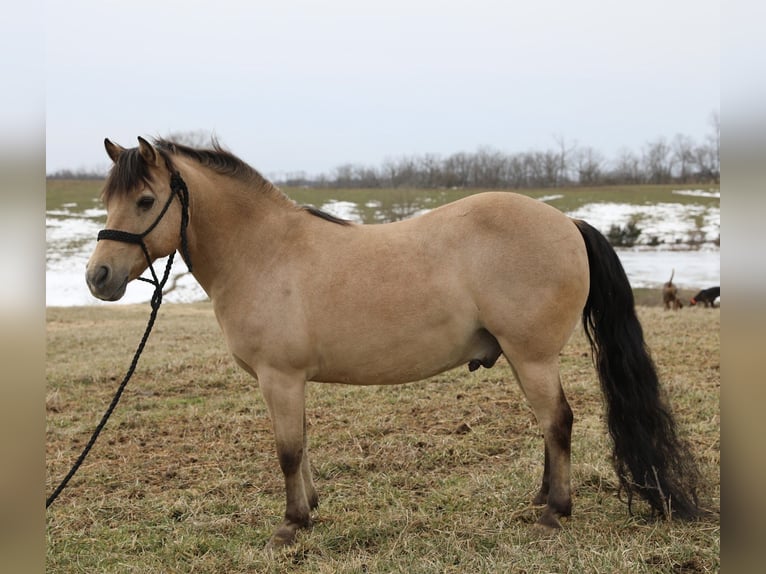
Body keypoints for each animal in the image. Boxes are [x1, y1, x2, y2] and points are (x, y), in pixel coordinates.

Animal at [85, 137, 702, 548]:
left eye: (145, 201)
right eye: (108, 198)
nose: (98, 277)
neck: (264, 252)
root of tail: (567, 222)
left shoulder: (278, 378)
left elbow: (288, 450)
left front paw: (291, 525)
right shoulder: (290, 381)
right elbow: (302, 445)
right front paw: (311, 508)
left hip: (533, 358)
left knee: (559, 422)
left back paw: (556, 511)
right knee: (550, 427)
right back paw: (539, 499)